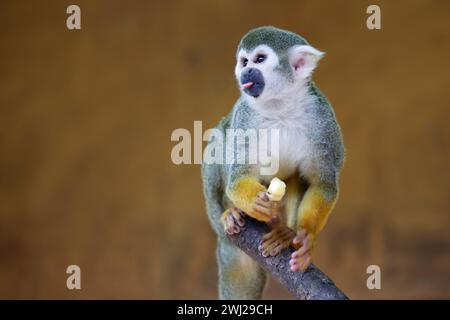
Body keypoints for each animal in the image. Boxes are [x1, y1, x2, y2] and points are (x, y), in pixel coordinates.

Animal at [202, 26, 346, 298]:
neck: (280, 107)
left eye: (259, 59)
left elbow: (322, 183)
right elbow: (237, 175)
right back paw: (229, 214)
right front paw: (254, 202)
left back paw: (285, 233)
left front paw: (305, 237)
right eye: (244, 61)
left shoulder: (322, 118)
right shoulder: (245, 116)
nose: (246, 71)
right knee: (219, 140)